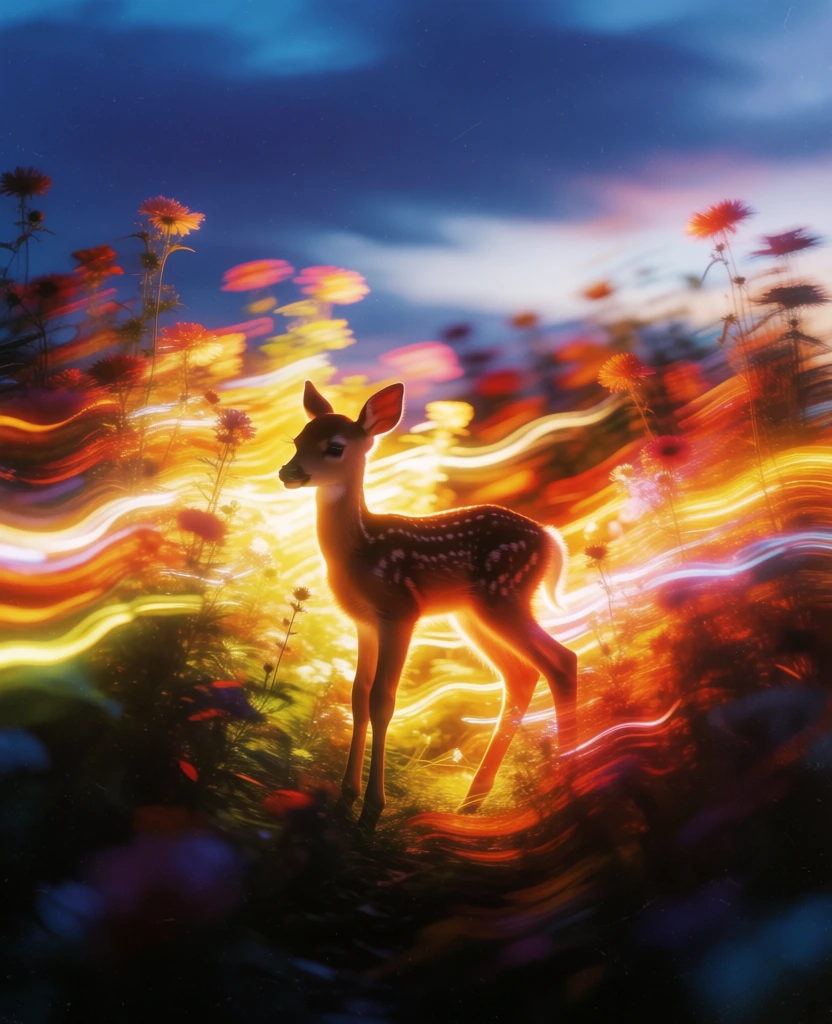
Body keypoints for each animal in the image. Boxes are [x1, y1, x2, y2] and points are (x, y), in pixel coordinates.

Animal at [278, 380, 577, 830]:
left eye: (334, 447)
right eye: (298, 439)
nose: (287, 472)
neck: (359, 548)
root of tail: (550, 538)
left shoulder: (400, 610)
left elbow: (383, 700)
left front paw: (371, 809)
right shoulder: (364, 622)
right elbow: (357, 697)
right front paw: (345, 798)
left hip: (503, 594)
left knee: (561, 661)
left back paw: (569, 778)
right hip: (472, 614)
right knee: (521, 675)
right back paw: (472, 801)